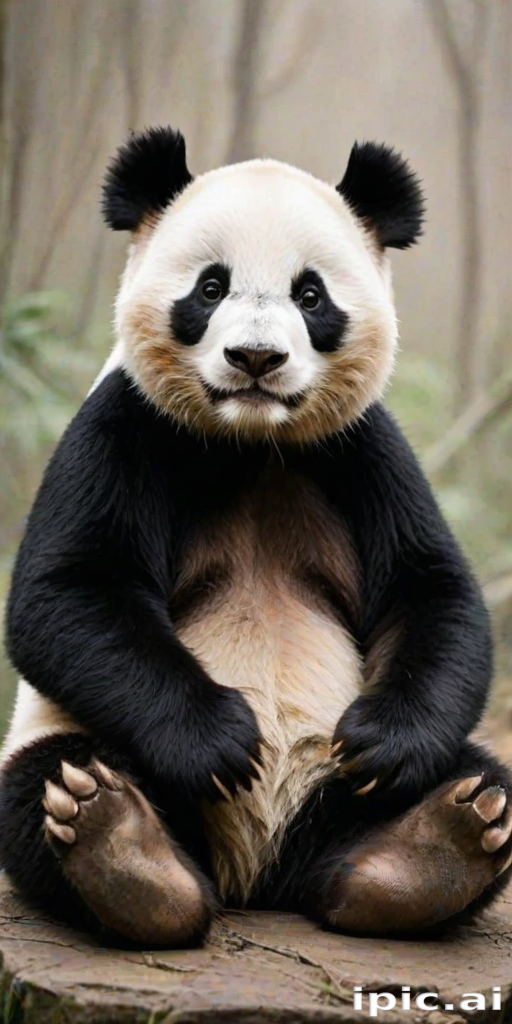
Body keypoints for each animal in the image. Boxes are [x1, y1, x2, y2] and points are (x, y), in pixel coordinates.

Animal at [1, 126, 511, 948]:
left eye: (311, 295)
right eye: (210, 288)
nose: (256, 359)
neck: (250, 439)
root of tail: (257, 875)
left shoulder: (361, 452)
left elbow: (431, 591)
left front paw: (383, 743)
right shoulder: (125, 425)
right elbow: (66, 592)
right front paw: (220, 741)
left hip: (332, 791)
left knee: (475, 778)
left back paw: (427, 848)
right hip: (79, 743)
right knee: (45, 780)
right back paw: (126, 852)